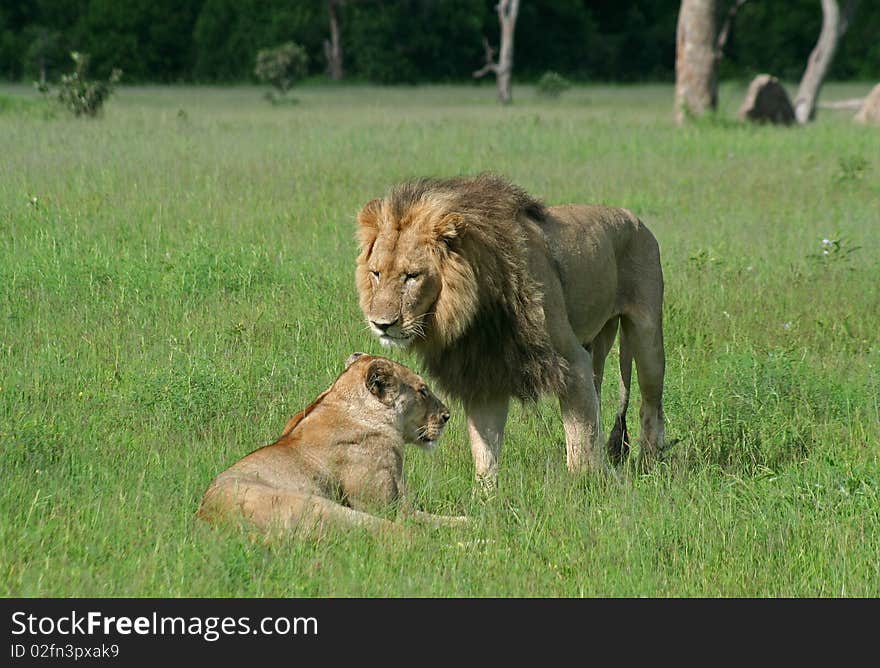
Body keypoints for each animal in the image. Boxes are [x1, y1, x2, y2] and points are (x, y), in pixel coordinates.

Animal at [197, 352, 464, 536]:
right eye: (423, 390)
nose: (447, 415)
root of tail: (210, 519)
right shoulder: (388, 508)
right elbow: (439, 519)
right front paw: (469, 521)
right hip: (327, 508)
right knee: (406, 534)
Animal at [354, 172, 664, 486]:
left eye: (412, 276)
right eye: (376, 273)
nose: (381, 324)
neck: (478, 310)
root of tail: (632, 217)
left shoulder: (572, 360)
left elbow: (581, 443)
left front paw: (586, 485)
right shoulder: (484, 374)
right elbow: (485, 450)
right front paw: (486, 495)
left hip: (647, 337)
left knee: (650, 404)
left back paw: (650, 465)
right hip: (596, 344)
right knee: (599, 400)